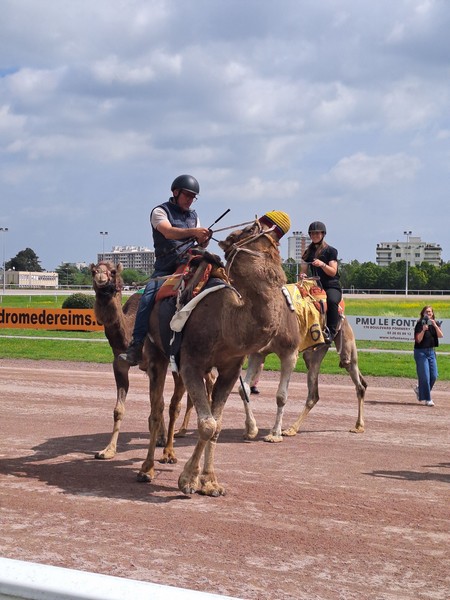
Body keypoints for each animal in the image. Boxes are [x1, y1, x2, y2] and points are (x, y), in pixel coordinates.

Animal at [137, 220, 300, 496]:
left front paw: (210, 482)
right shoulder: (191, 364)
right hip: (156, 351)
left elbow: (217, 425)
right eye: (251, 230)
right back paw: (146, 469)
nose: (275, 233)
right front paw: (188, 480)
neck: (228, 320)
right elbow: (207, 424)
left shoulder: (229, 370)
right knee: (156, 410)